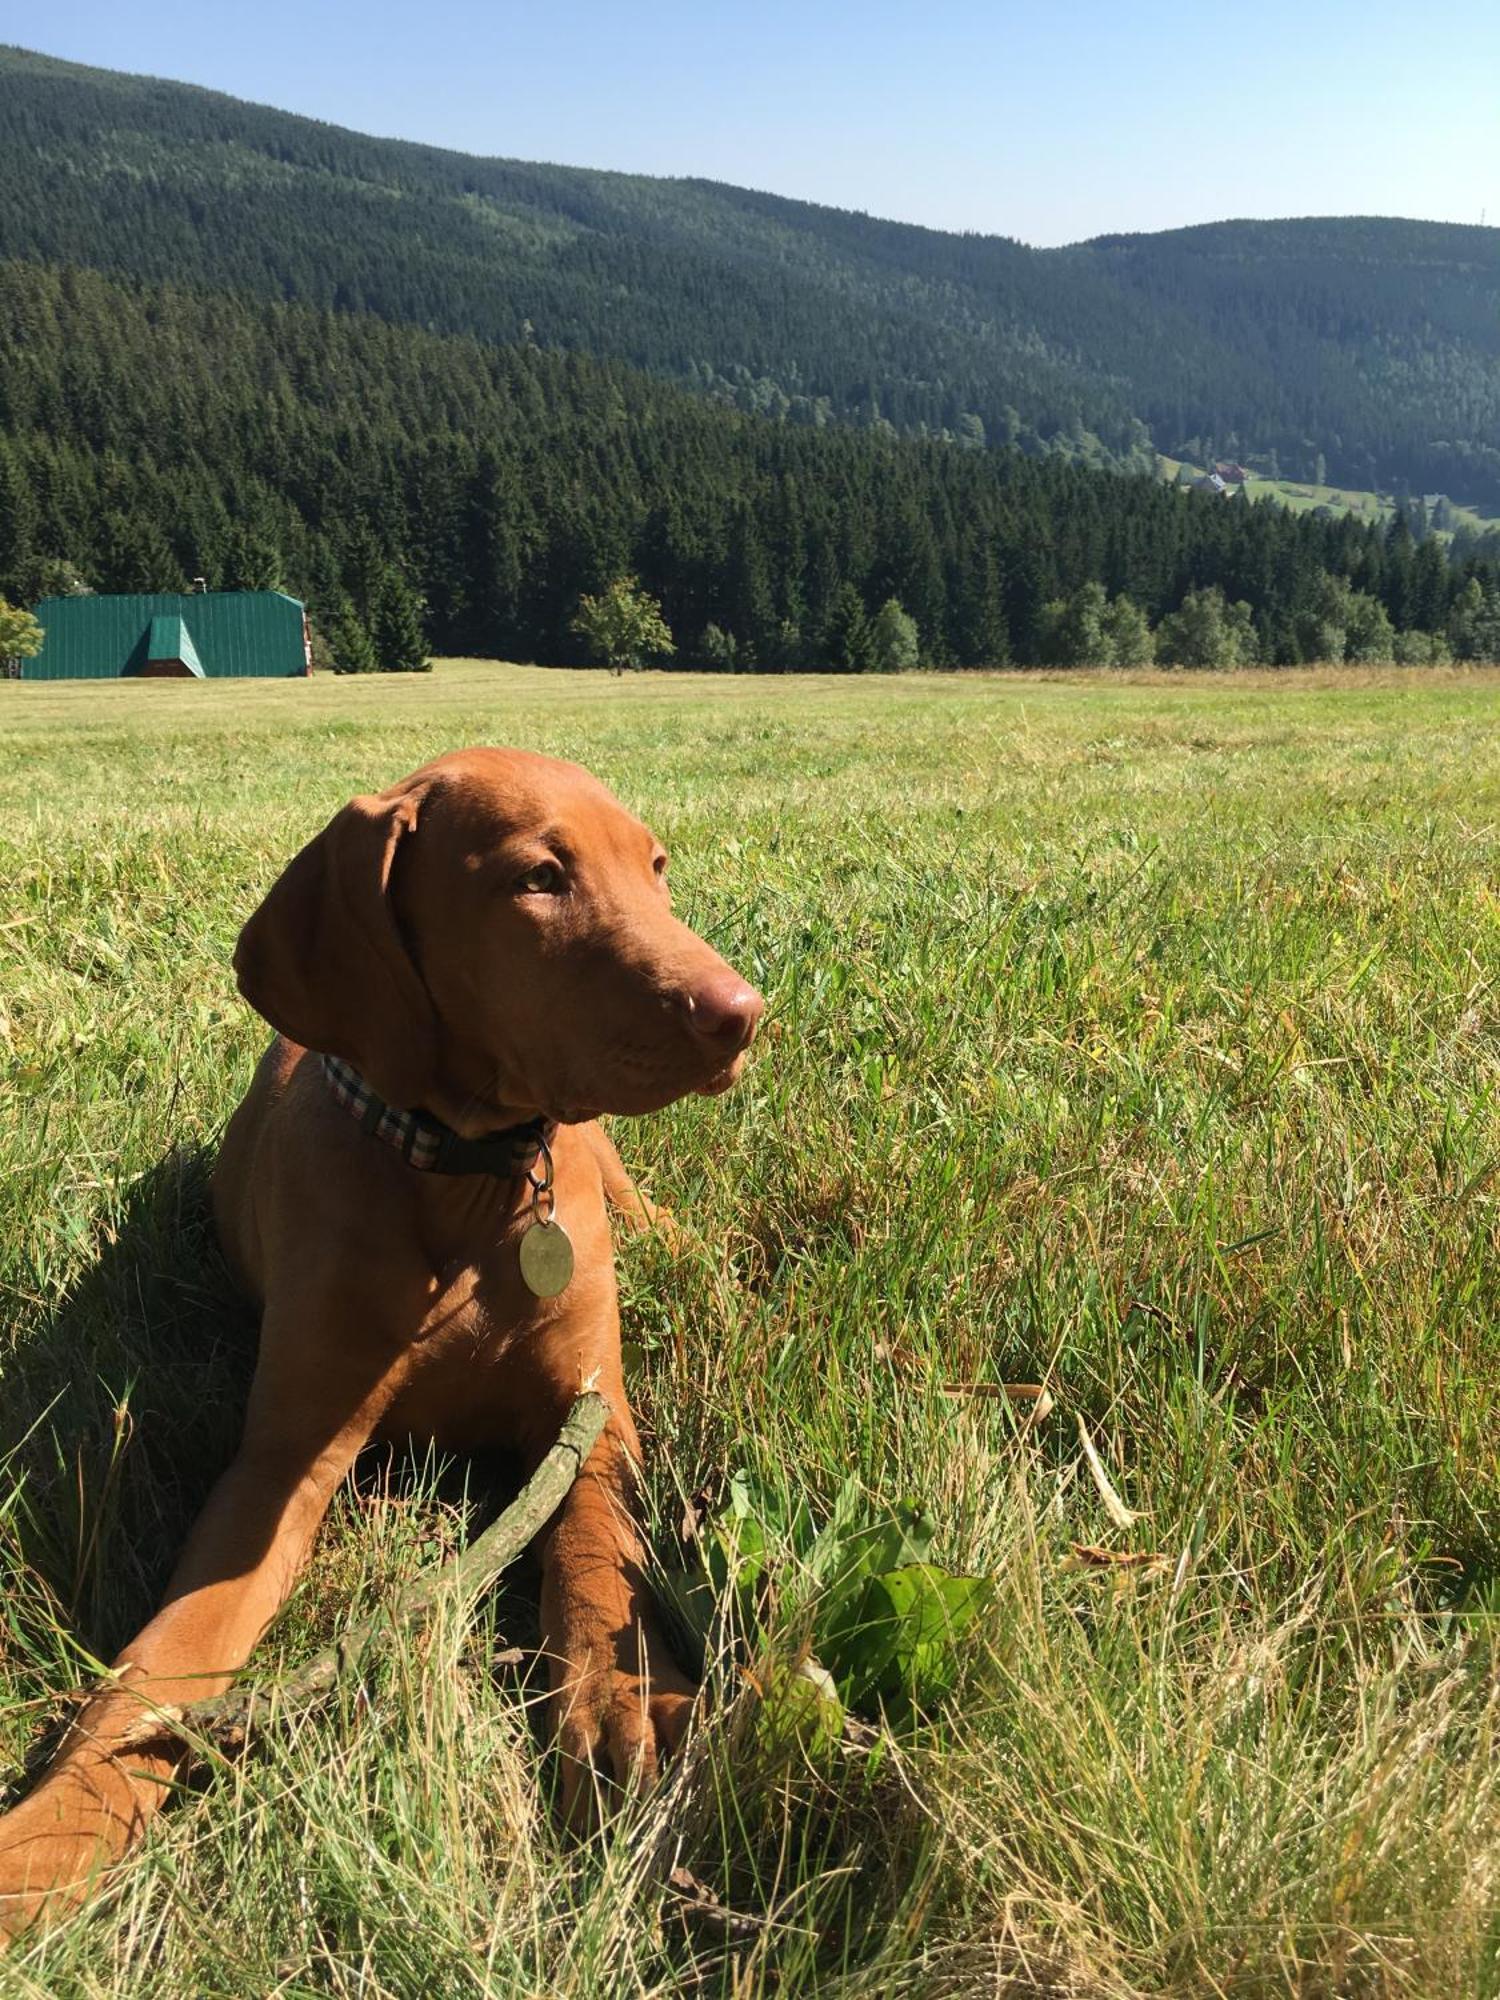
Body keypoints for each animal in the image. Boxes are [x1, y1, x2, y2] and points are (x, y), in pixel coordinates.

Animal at [0, 752, 764, 1936]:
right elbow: (156, 1667)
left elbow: (597, 1549)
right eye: (539, 878)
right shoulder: (281, 1464)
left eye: (656, 867)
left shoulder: (592, 1414)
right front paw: (54, 1833)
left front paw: (619, 1702)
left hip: (618, 1175)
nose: (741, 1013)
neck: (466, 1178)